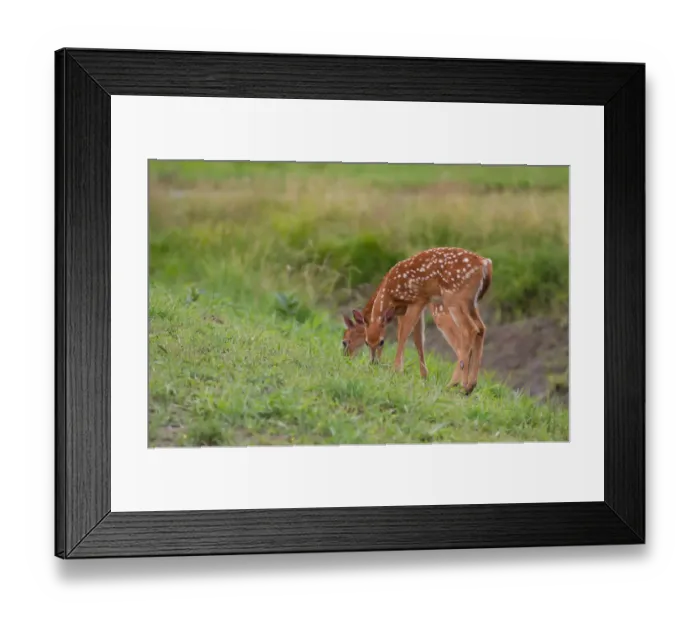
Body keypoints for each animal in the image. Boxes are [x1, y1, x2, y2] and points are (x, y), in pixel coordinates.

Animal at [345, 247, 492, 395]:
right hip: (471, 304)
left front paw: (396, 370)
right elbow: (418, 340)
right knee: (481, 328)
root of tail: (485, 263)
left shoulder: (417, 300)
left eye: (345, 341)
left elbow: (403, 335)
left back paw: (457, 384)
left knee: (468, 331)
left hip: (454, 300)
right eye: (366, 342)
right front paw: (423, 376)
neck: (389, 290)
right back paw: (469, 385)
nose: (373, 363)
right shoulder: (408, 309)